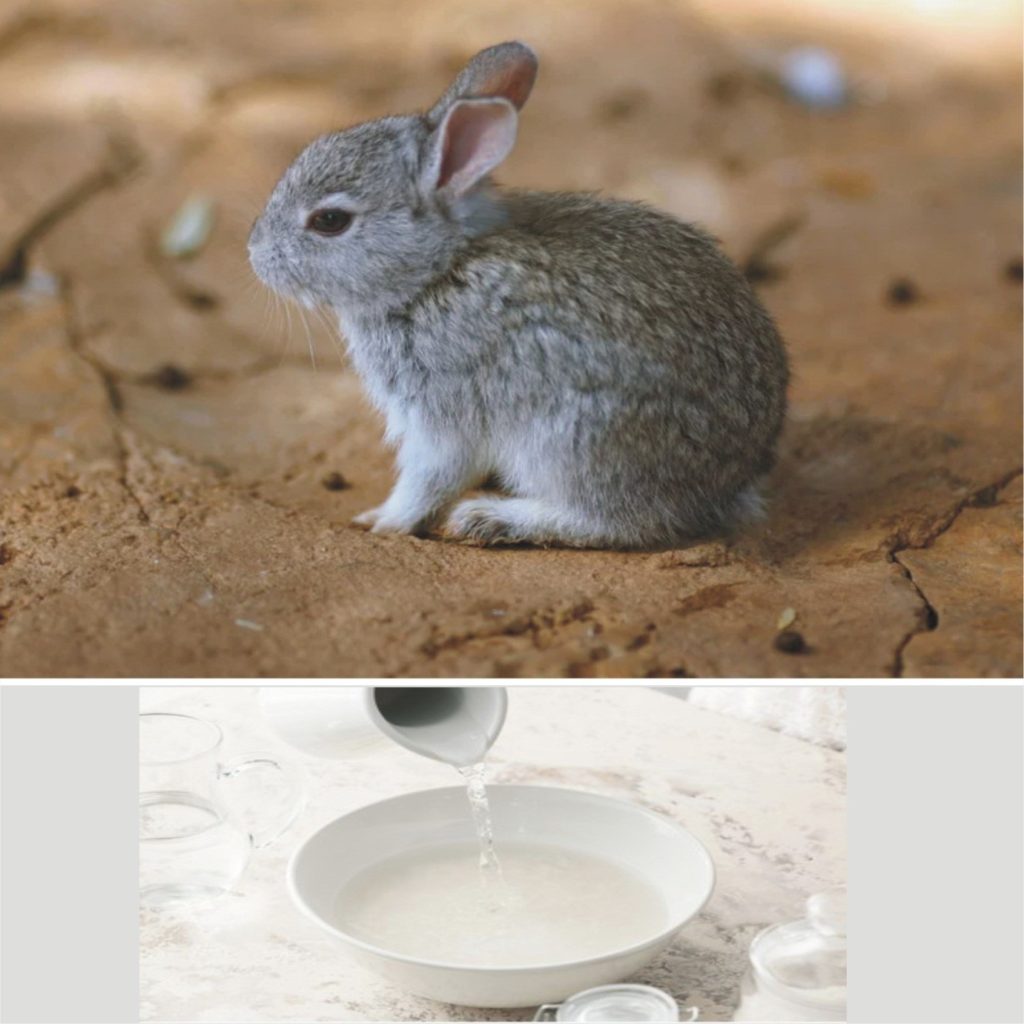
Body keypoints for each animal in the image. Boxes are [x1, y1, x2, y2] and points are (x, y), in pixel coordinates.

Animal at [248, 41, 789, 549]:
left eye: (330, 220)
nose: (254, 252)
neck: (436, 271)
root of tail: (731, 478)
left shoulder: (443, 411)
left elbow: (430, 476)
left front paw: (384, 521)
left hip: (571, 439)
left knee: (619, 521)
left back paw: (491, 519)